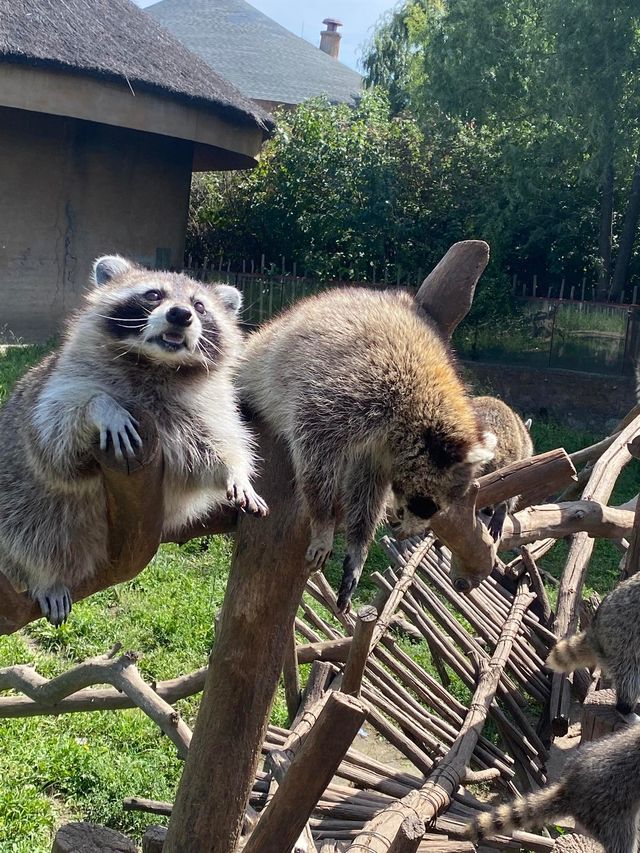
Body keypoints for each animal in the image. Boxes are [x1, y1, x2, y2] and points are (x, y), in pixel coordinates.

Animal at [0, 255, 266, 624]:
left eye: (199, 306)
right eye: (153, 295)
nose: (181, 314)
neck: (157, 364)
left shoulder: (203, 412)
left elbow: (211, 450)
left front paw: (236, 472)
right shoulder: (61, 384)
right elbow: (54, 441)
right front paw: (101, 408)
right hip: (20, 504)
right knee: (31, 534)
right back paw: (44, 578)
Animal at [239, 290, 496, 608]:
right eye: (428, 505)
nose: (405, 532)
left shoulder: (380, 451)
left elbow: (368, 488)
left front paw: (359, 545)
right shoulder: (359, 393)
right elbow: (314, 447)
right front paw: (323, 521)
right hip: (263, 358)